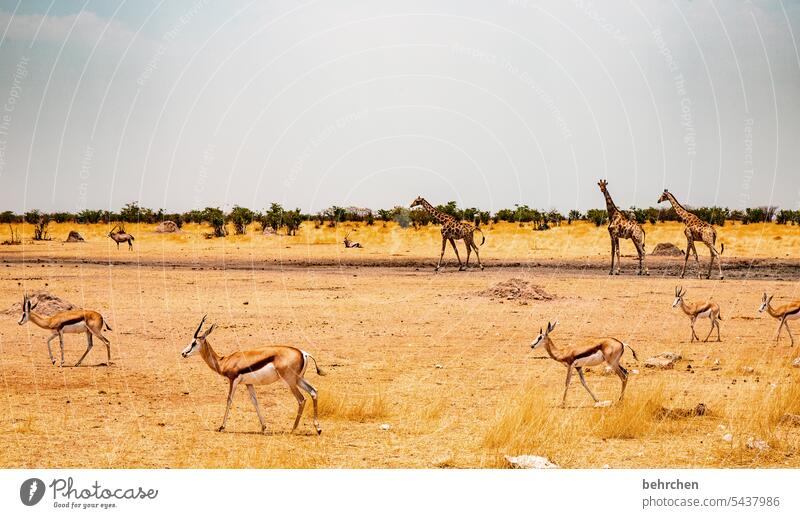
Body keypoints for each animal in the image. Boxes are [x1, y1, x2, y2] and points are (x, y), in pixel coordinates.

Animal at [182, 316, 324, 434]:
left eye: (194, 343)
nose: (183, 353)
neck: (225, 361)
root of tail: (303, 353)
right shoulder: (248, 384)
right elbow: (255, 402)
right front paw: (264, 427)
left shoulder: (233, 380)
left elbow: (229, 400)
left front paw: (221, 427)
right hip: (298, 379)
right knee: (314, 391)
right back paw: (318, 428)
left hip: (290, 381)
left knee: (301, 399)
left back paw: (293, 429)